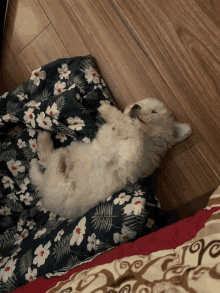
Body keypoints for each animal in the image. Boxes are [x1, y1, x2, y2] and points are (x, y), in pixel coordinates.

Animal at [29, 98, 191, 219]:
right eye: (139, 102)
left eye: (154, 111)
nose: (135, 106)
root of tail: (44, 187)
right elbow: (122, 124)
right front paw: (108, 110)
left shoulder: (134, 154)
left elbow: (133, 132)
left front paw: (110, 111)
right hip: (70, 162)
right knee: (47, 160)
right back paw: (44, 143)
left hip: (61, 189)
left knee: (52, 165)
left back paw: (53, 152)